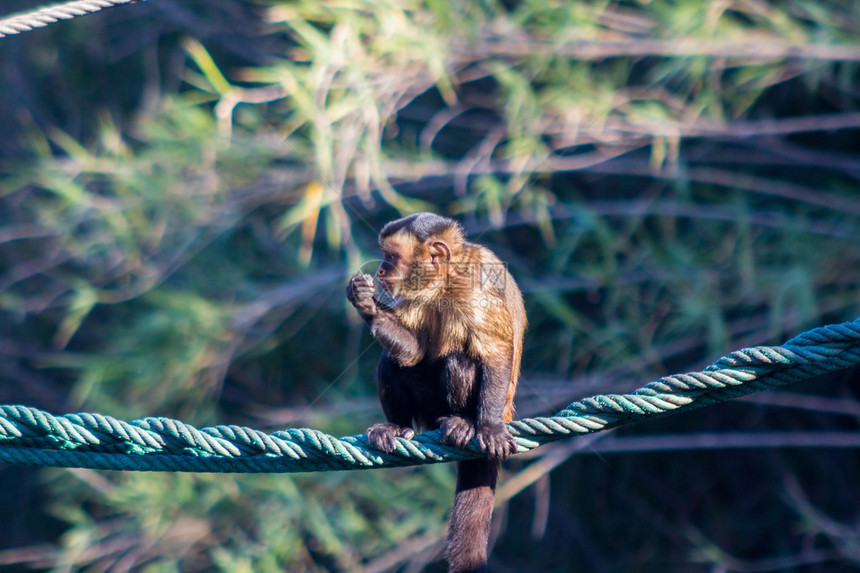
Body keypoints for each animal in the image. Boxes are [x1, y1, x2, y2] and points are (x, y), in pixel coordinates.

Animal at [348, 212, 524, 568]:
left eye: (391, 257)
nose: (380, 271)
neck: (446, 278)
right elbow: (413, 351)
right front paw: (365, 302)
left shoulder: (473, 287)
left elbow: (496, 352)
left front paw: (489, 427)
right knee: (394, 362)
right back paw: (398, 427)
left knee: (462, 359)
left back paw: (465, 423)